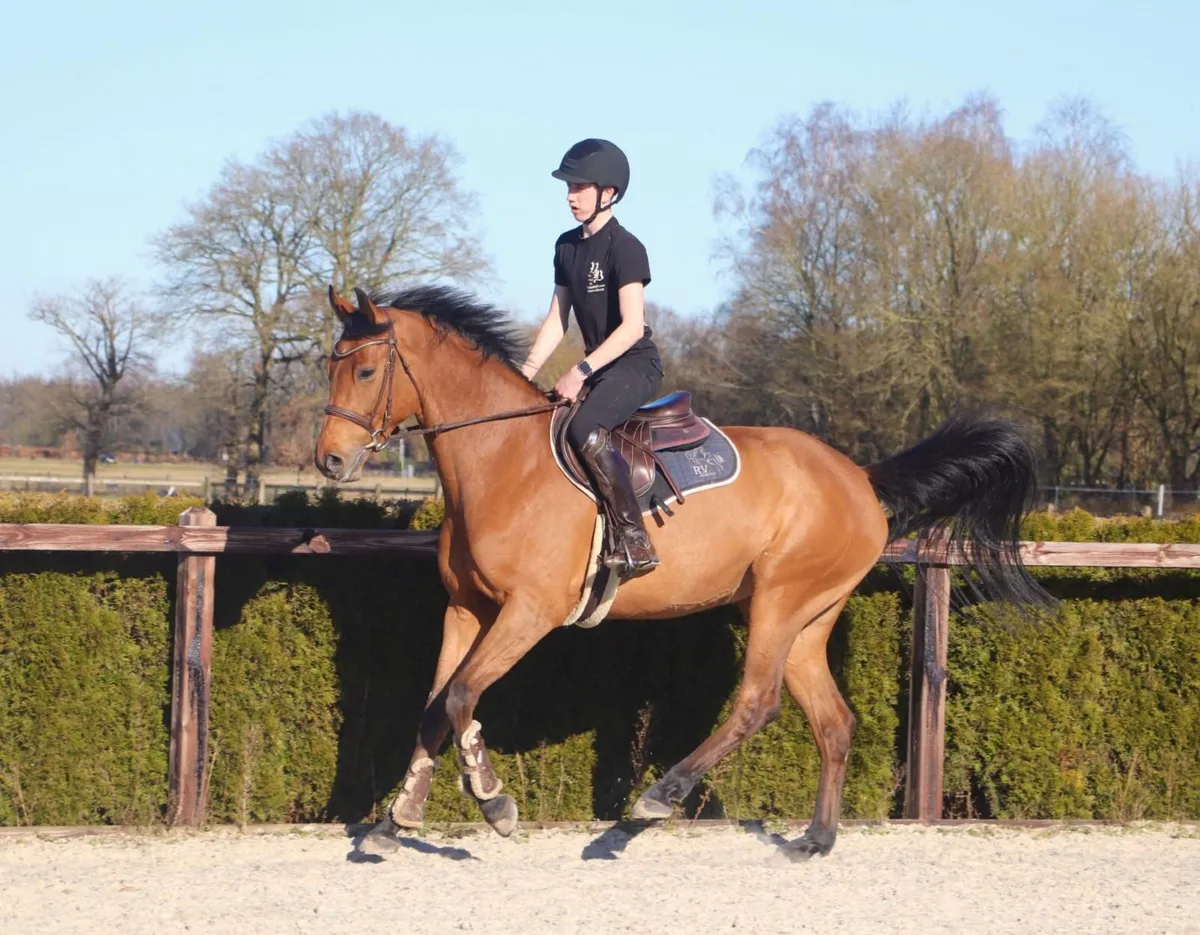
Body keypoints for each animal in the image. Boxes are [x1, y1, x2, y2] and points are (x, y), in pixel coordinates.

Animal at [314, 284, 1048, 859]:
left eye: (366, 370)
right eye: (331, 366)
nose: (330, 462)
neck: (500, 459)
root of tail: (860, 479)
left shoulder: (530, 611)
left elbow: (462, 695)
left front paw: (493, 803)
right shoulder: (468, 609)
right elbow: (437, 704)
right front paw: (396, 819)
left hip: (779, 600)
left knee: (758, 702)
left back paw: (652, 804)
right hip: (808, 617)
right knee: (833, 720)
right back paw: (814, 838)